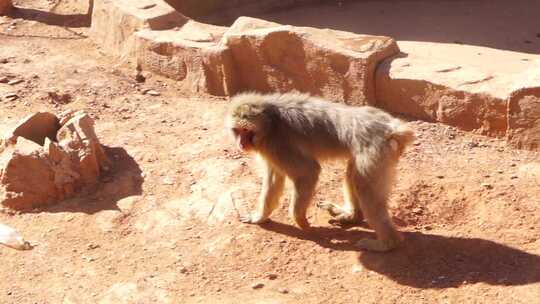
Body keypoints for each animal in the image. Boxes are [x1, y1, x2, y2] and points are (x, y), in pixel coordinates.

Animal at [226, 92, 416, 252]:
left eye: (246, 131)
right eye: (238, 131)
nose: (241, 144)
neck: (270, 123)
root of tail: (393, 128)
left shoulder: (278, 145)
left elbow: (308, 172)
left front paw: (300, 221)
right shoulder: (271, 151)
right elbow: (274, 180)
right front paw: (259, 217)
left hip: (375, 151)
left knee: (365, 188)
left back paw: (387, 243)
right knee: (353, 176)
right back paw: (352, 216)